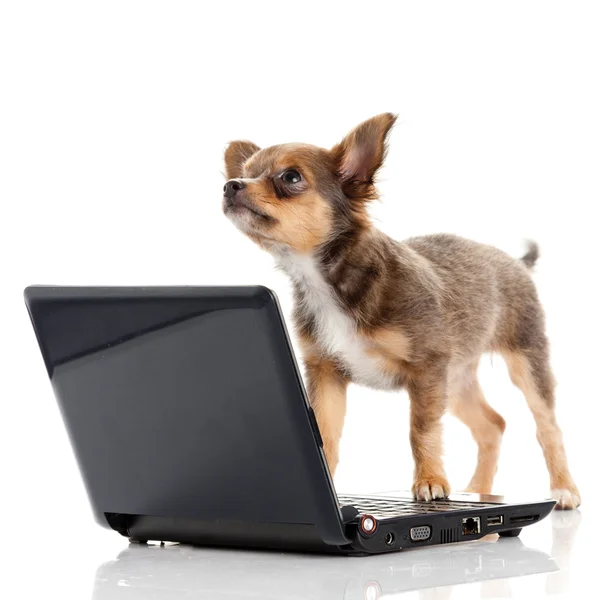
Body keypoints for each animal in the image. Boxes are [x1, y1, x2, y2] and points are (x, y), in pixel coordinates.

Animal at [221, 112, 580, 506]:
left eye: (290, 177)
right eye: (247, 172)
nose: (230, 185)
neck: (326, 280)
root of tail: (516, 262)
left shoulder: (426, 370)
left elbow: (421, 430)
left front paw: (430, 482)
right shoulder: (327, 374)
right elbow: (326, 436)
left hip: (524, 362)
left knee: (548, 428)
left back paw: (563, 489)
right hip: (455, 380)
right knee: (492, 425)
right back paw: (477, 492)